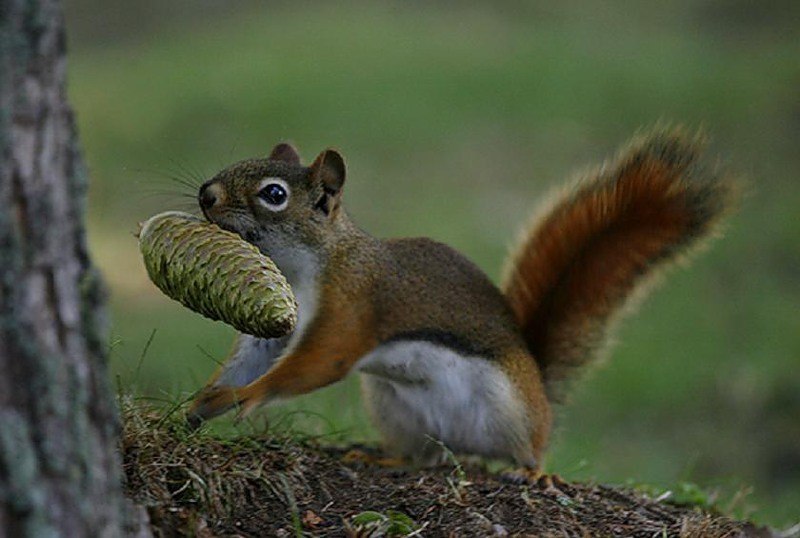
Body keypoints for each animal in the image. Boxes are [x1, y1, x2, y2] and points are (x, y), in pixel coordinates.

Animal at [188, 127, 736, 472]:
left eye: (274, 194)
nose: (205, 193)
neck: (308, 266)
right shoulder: (275, 327)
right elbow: (250, 359)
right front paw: (202, 402)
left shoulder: (353, 306)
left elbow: (319, 362)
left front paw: (246, 397)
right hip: (396, 409)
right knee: (424, 457)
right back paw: (386, 457)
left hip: (511, 408)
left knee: (530, 449)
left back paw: (530, 471)